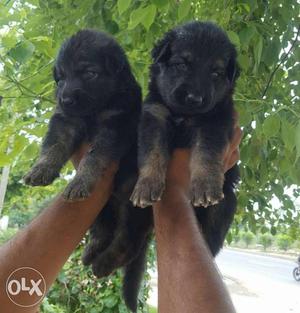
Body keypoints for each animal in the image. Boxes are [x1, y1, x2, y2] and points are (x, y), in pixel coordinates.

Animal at [22, 28, 152, 310]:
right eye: (60, 78)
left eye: (89, 73)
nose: (65, 98)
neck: (96, 108)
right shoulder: (65, 119)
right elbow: (54, 145)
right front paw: (40, 169)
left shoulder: (115, 124)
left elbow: (94, 158)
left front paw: (80, 182)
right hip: (103, 210)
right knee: (103, 229)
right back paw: (91, 252)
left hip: (131, 196)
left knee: (127, 241)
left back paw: (104, 262)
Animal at [131, 20, 239, 256]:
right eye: (181, 64)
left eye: (216, 73)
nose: (194, 98)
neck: (184, 114)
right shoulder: (155, 116)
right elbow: (153, 153)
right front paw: (146, 185)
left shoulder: (213, 122)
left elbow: (206, 154)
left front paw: (205, 184)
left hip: (223, 207)